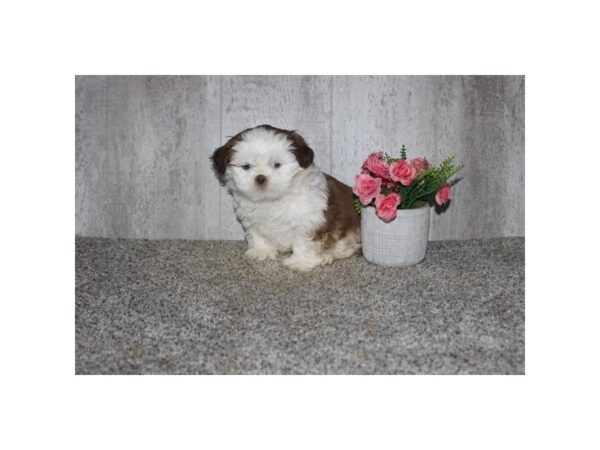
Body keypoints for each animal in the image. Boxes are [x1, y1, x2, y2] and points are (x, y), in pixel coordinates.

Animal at [211, 123, 360, 270]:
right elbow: (258, 235)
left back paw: (333, 253)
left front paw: (301, 262)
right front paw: (262, 251)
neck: (271, 200)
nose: (261, 178)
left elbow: (303, 241)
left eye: (277, 165)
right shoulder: (251, 219)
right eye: (246, 166)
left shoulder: (309, 221)